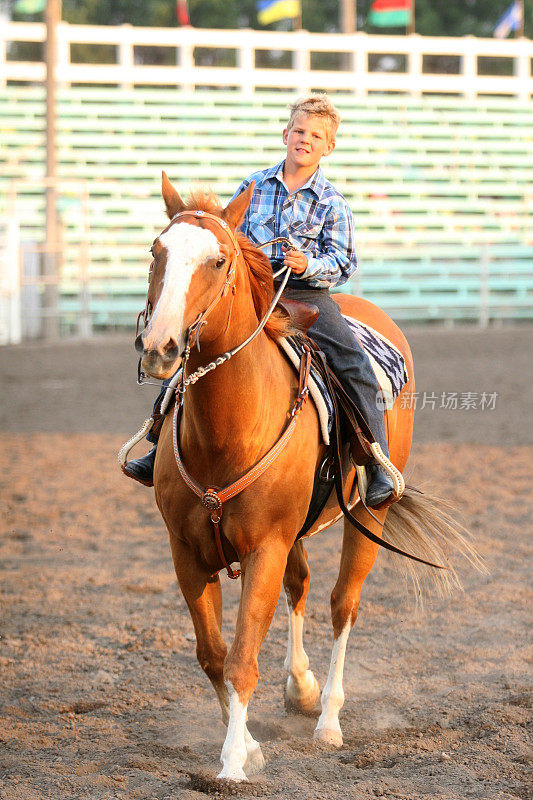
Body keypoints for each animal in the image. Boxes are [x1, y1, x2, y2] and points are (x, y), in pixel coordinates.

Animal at [132, 172, 478, 780]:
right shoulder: (186, 551)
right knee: (301, 587)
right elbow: (214, 656)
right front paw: (247, 744)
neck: (228, 430)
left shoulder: (265, 546)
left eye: (218, 260)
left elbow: (243, 659)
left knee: (343, 604)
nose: (160, 348)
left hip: (367, 515)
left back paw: (330, 721)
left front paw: (232, 765)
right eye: (156, 251)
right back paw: (301, 689)